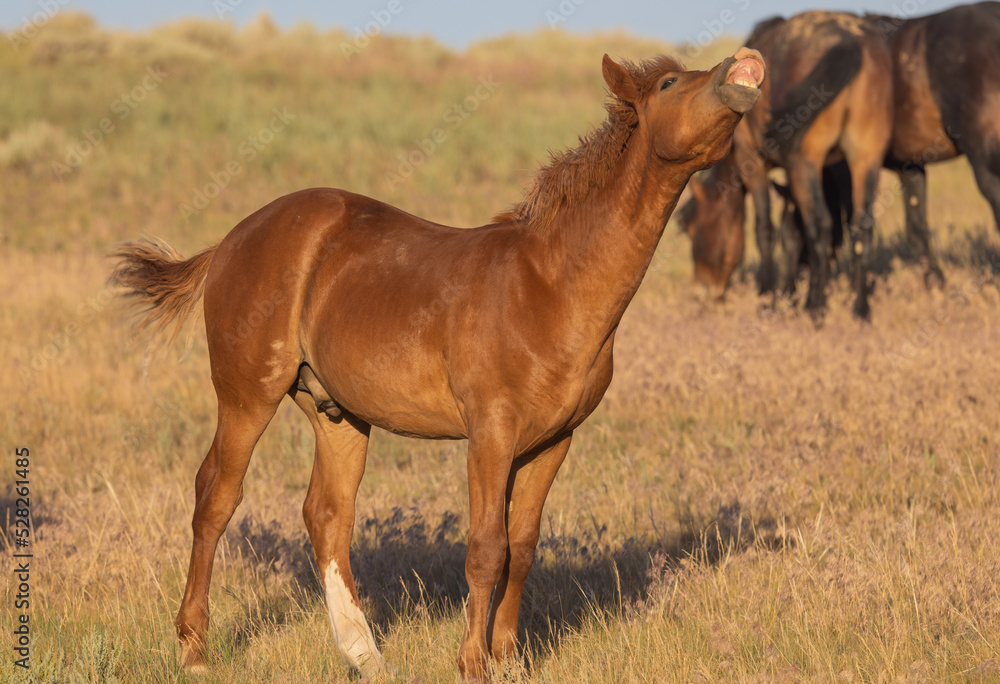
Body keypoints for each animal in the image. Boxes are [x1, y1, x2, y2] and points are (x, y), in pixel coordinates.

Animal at [110, 49, 764, 681]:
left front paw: (509, 659)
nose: (742, 67)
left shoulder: (554, 441)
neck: (551, 282)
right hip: (247, 395)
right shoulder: (491, 433)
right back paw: (194, 650)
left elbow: (523, 546)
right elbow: (487, 547)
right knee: (216, 497)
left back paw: (365, 655)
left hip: (337, 412)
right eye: (669, 84)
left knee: (327, 514)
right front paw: (472, 663)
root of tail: (229, 240)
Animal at [678, 11, 893, 319]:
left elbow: (766, 229)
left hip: (806, 161)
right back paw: (860, 310)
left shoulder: (753, 163)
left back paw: (815, 307)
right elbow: (791, 230)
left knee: (820, 225)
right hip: (865, 159)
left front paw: (768, 297)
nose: (702, 292)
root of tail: (852, 38)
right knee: (862, 226)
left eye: (695, 229)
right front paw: (789, 293)